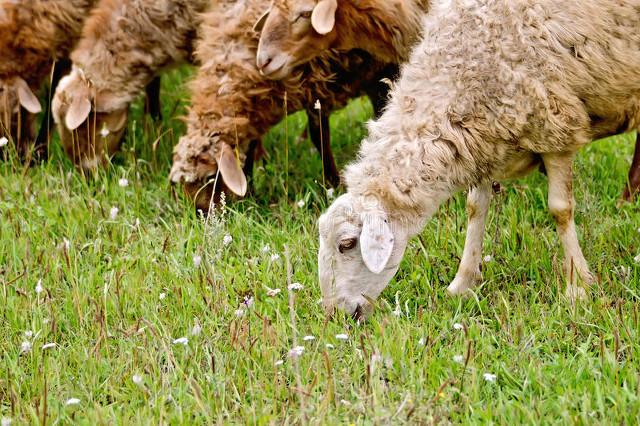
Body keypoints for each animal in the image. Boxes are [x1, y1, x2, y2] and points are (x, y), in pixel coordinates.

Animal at [169, 0, 400, 211]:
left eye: (210, 177)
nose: (201, 212)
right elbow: (252, 146)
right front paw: (250, 190)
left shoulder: (318, 86)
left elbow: (319, 137)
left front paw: (332, 184)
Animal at [316, 0, 640, 316]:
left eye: (346, 244)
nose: (336, 314)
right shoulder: (482, 141)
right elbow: (475, 209)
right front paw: (462, 283)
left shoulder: (556, 129)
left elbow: (560, 211)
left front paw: (577, 288)